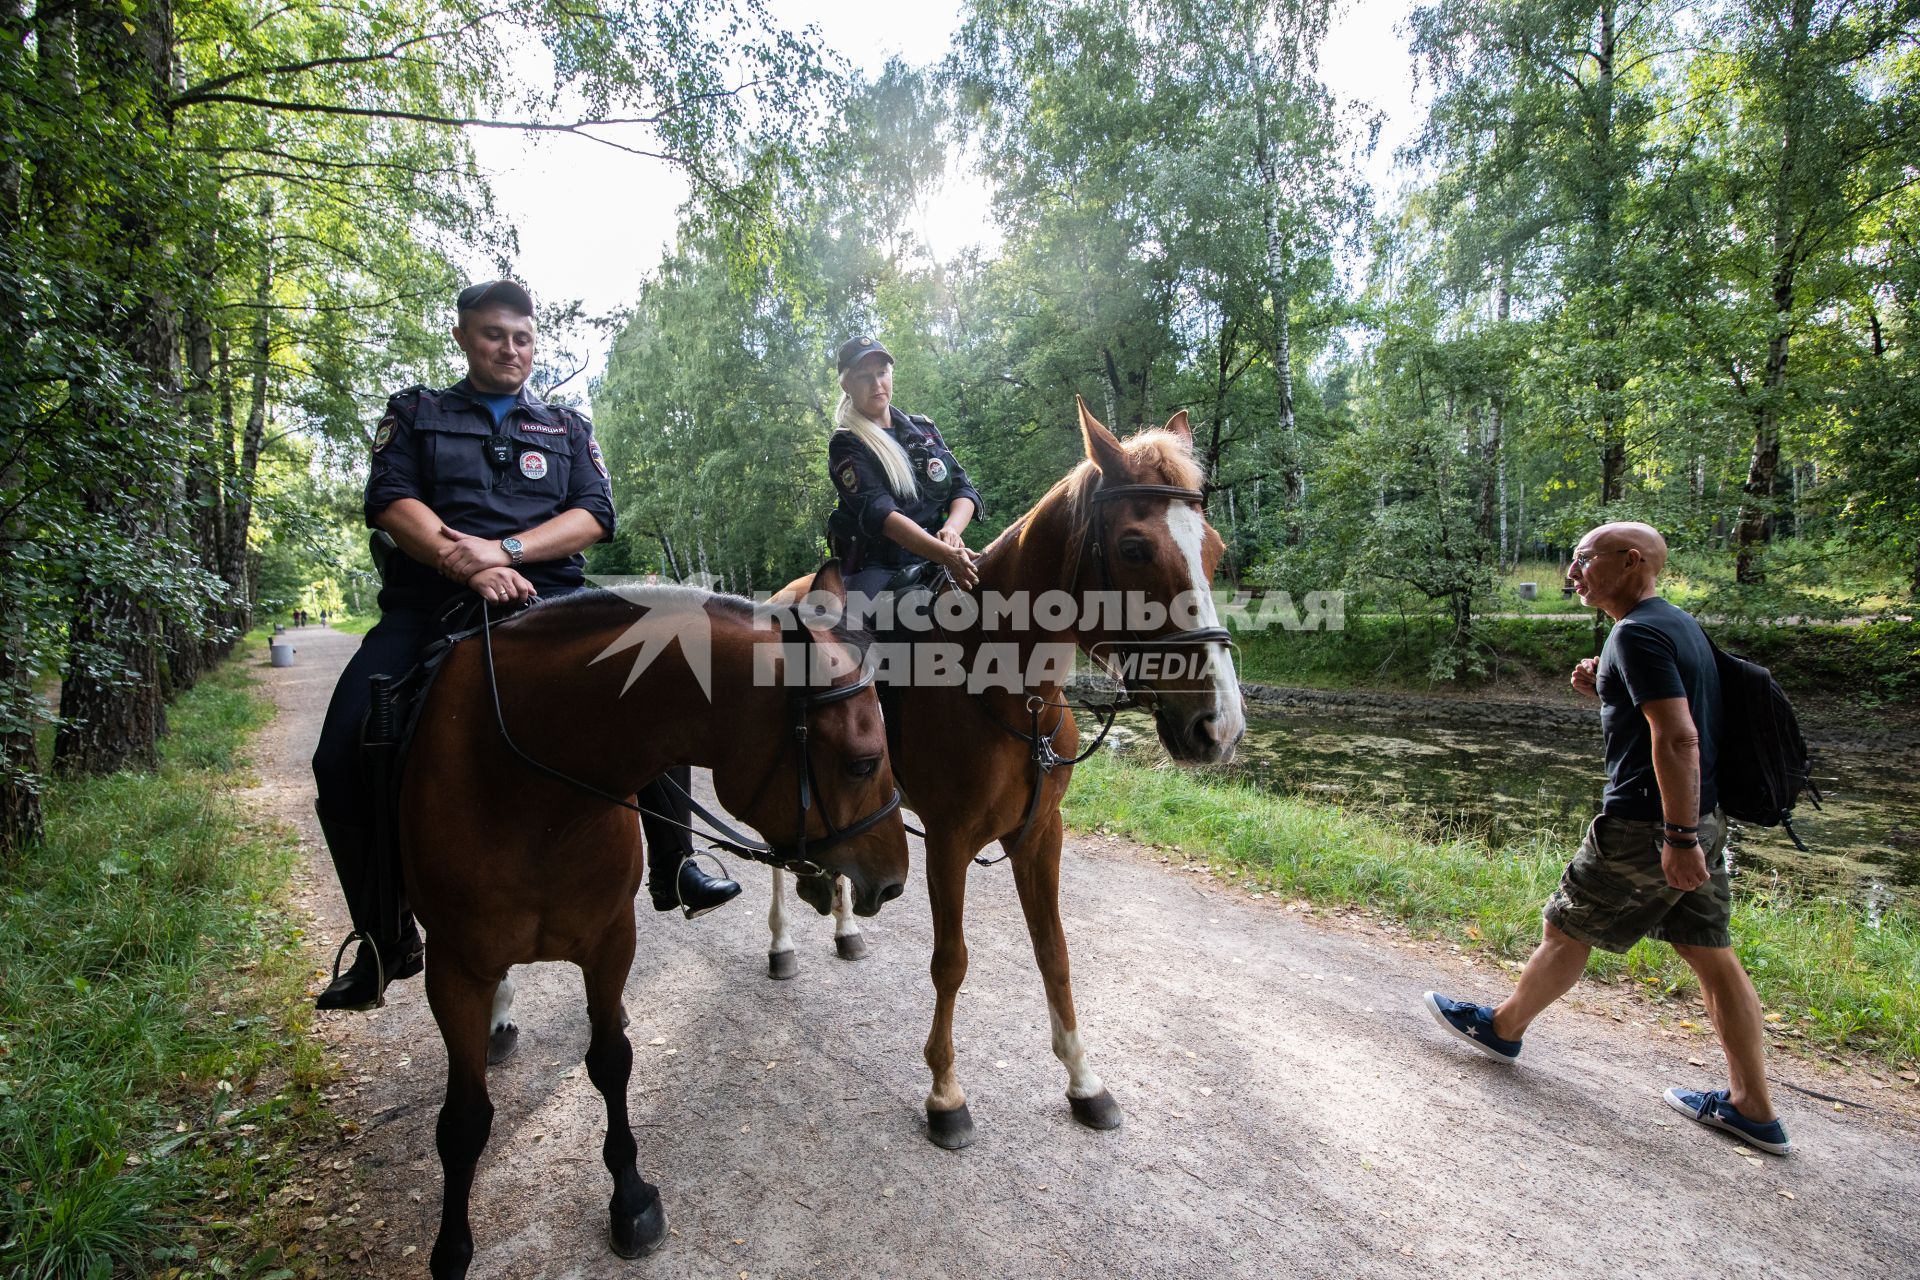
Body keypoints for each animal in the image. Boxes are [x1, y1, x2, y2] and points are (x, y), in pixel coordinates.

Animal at [399, 571, 906, 1280]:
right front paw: (452, 1249)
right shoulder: (451, 968)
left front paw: (631, 1199)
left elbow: (611, 1061)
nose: (894, 880)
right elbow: (465, 1120)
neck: (525, 783)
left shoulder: (611, 940)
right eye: (862, 761)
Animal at [771, 401, 1251, 1151]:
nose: (1219, 727)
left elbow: (1054, 953)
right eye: (1135, 548)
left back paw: (843, 922)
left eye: (1215, 551)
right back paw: (783, 942)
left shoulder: (1039, 835)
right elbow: (951, 961)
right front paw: (945, 1094)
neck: (1011, 691)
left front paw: (1085, 1082)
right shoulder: (947, 842)